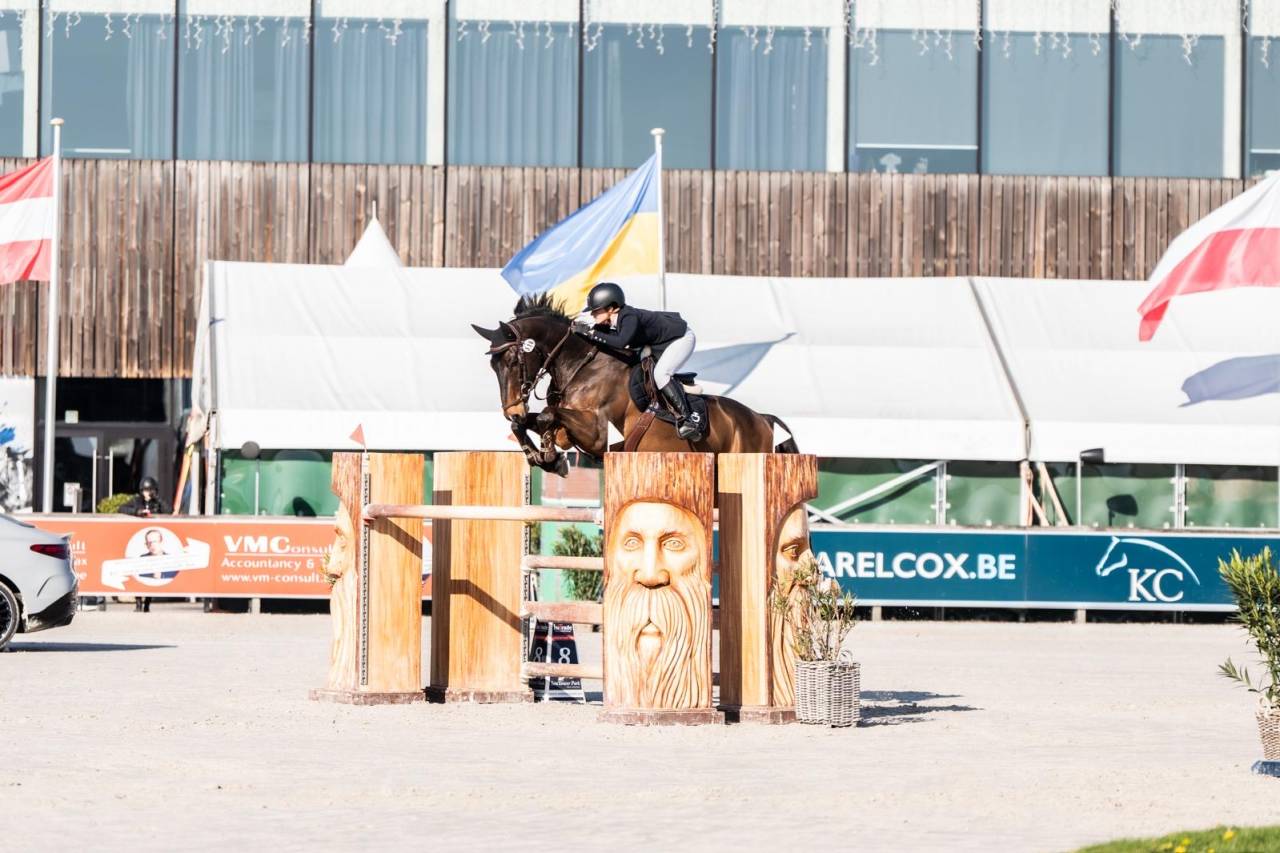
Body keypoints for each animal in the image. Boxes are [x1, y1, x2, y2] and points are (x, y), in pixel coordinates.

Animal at [472, 295, 798, 473]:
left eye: (513, 361)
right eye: (492, 365)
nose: (512, 409)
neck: (580, 366)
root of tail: (762, 419)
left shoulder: (598, 436)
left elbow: (547, 416)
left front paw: (551, 456)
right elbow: (529, 423)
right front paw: (542, 456)